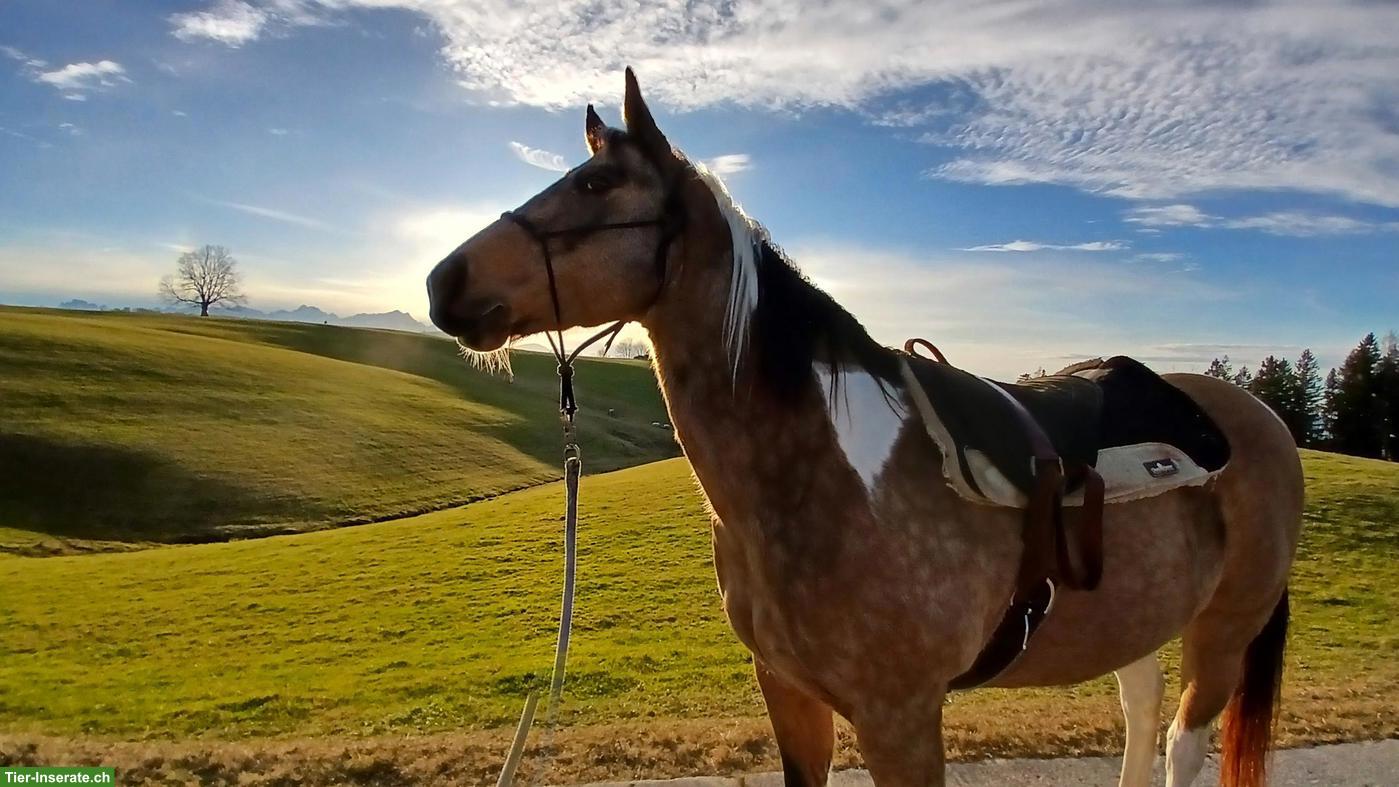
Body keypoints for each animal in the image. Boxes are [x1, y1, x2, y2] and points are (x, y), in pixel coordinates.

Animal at [425, 69, 1302, 787]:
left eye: (597, 182)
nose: (442, 281)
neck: (823, 482)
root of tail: (1256, 418)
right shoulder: (789, 695)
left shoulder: (900, 718)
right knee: (1140, 711)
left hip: (1224, 630)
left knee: (1182, 740)